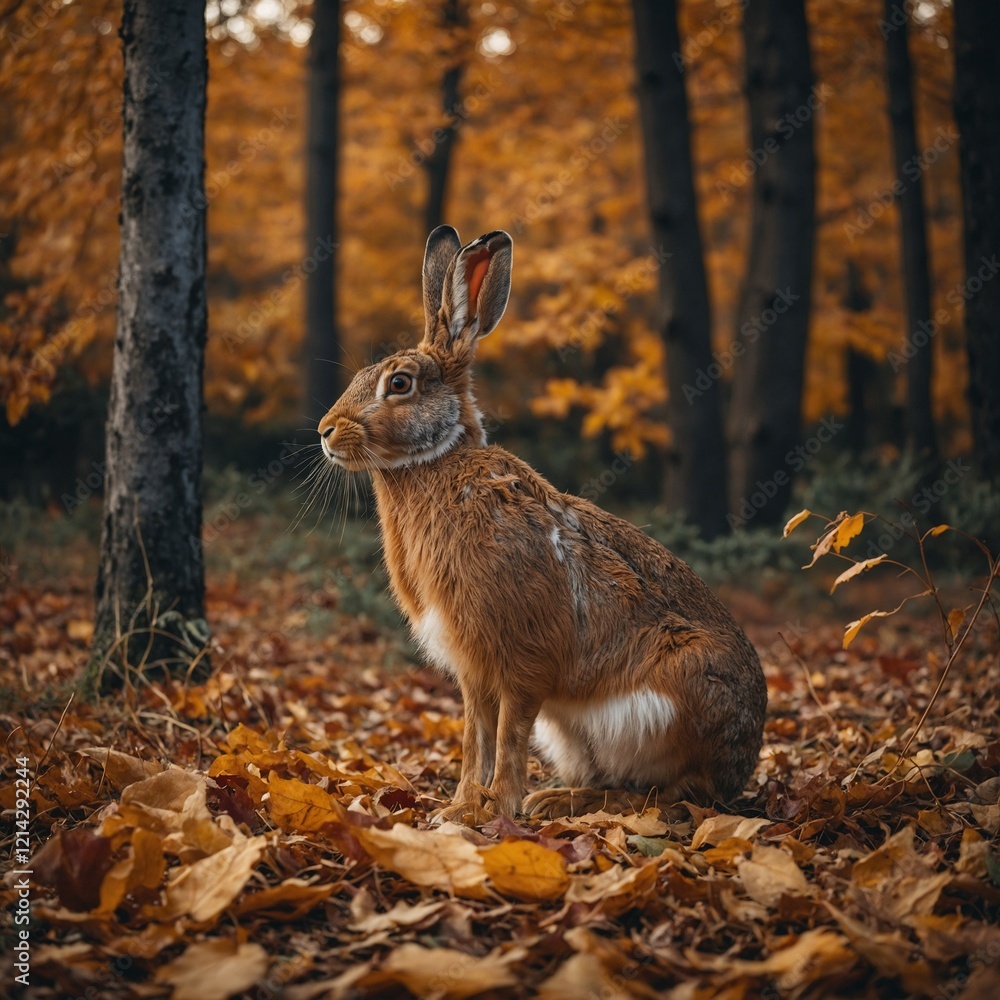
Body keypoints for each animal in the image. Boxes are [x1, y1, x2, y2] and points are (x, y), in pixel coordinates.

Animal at [317, 225, 767, 822]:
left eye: (400, 383)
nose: (325, 431)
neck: (439, 462)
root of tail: (743, 763)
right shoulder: (473, 671)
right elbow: (475, 737)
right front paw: (458, 809)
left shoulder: (522, 657)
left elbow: (508, 735)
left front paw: (496, 810)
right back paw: (556, 797)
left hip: (676, 699)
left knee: (671, 794)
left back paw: (559, 801)